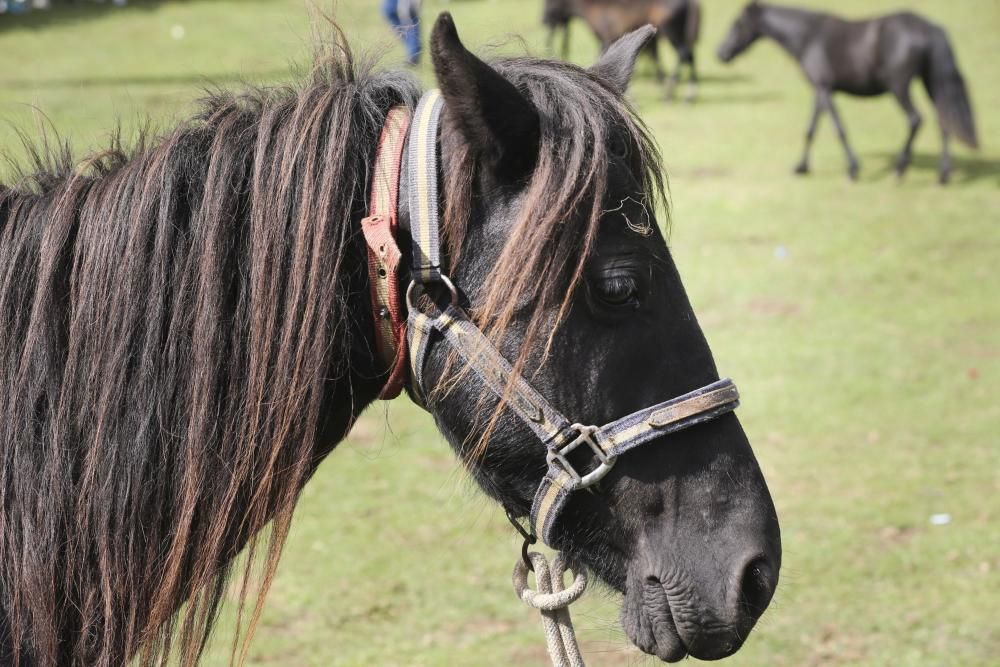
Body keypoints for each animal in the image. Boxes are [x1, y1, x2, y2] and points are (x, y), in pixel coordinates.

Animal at [544, 0, 700, 100]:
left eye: (551, 3)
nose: (543, 20)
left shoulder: (607, 40)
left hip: (671, 31)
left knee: (684, 54)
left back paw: (674, 93)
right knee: (689, 56)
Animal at [716, 0, 980, 183]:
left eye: (737, 24)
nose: (721, 53)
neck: (809, 37)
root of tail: (930, 28)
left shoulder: (824, 89)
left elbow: (837, 128)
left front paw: (852, 169)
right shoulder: (820, 91)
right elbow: (811, 129)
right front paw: (801, 167)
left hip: (899, 86)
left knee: (915, 119)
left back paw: (900, 168)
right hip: (930, 82)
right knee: (943, 121)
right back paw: (943, 175)